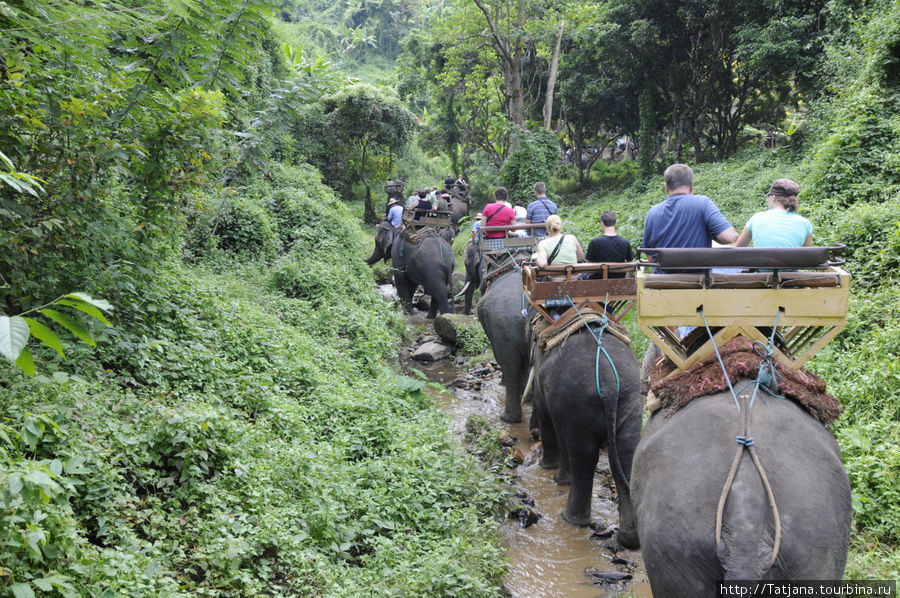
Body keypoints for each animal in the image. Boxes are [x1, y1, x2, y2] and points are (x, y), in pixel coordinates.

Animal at [532, 328, 644, 548]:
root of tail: (610, 386)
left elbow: (546, 415)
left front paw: (549, 470)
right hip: (631, 400)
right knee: (626, 455)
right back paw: (629, 539)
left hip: (577, 403)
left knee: (583, 456)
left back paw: (570, 519)